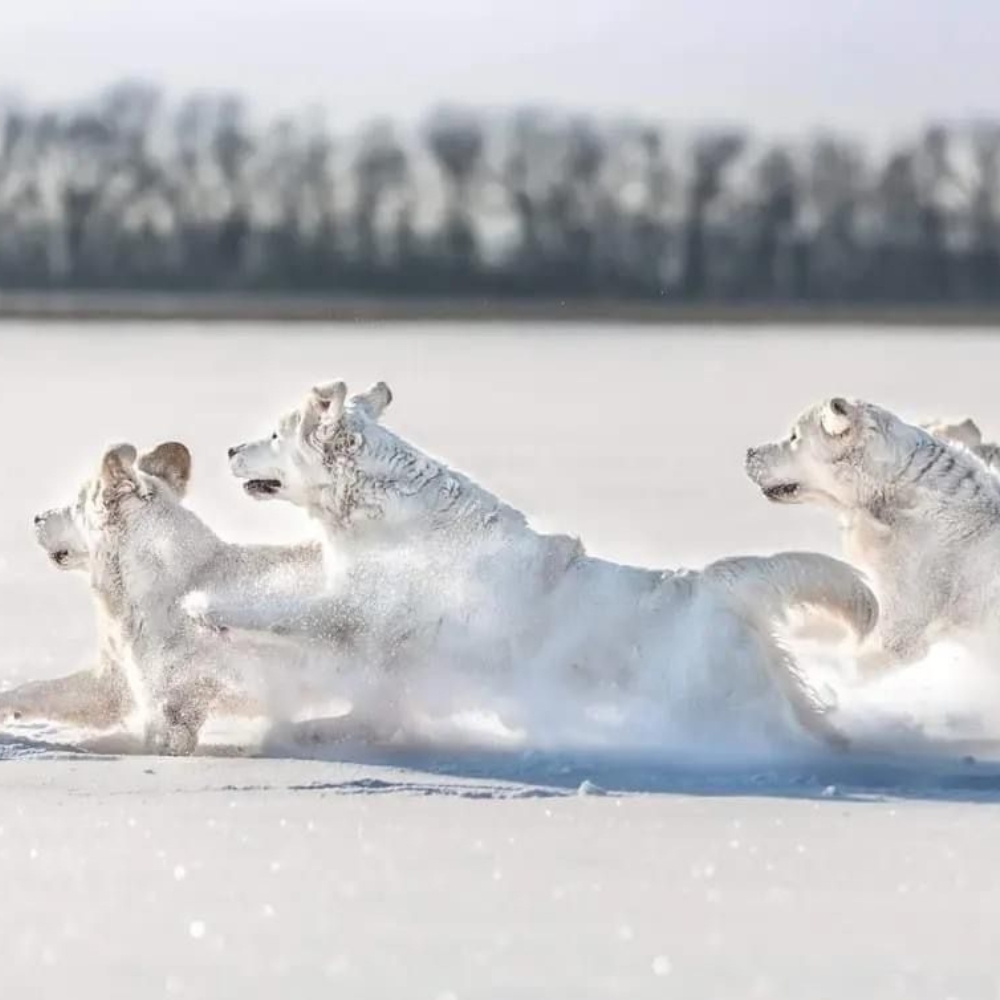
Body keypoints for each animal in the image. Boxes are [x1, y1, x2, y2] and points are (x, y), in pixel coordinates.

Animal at [209, 378, 876, 748]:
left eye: (275, 435)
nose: (230, 447)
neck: (377, 506)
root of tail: (712, 584)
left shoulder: (363, 606)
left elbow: (288, 613)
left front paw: (212, 609)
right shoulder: (389, 661)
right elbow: (369, 712)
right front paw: (303, 729)